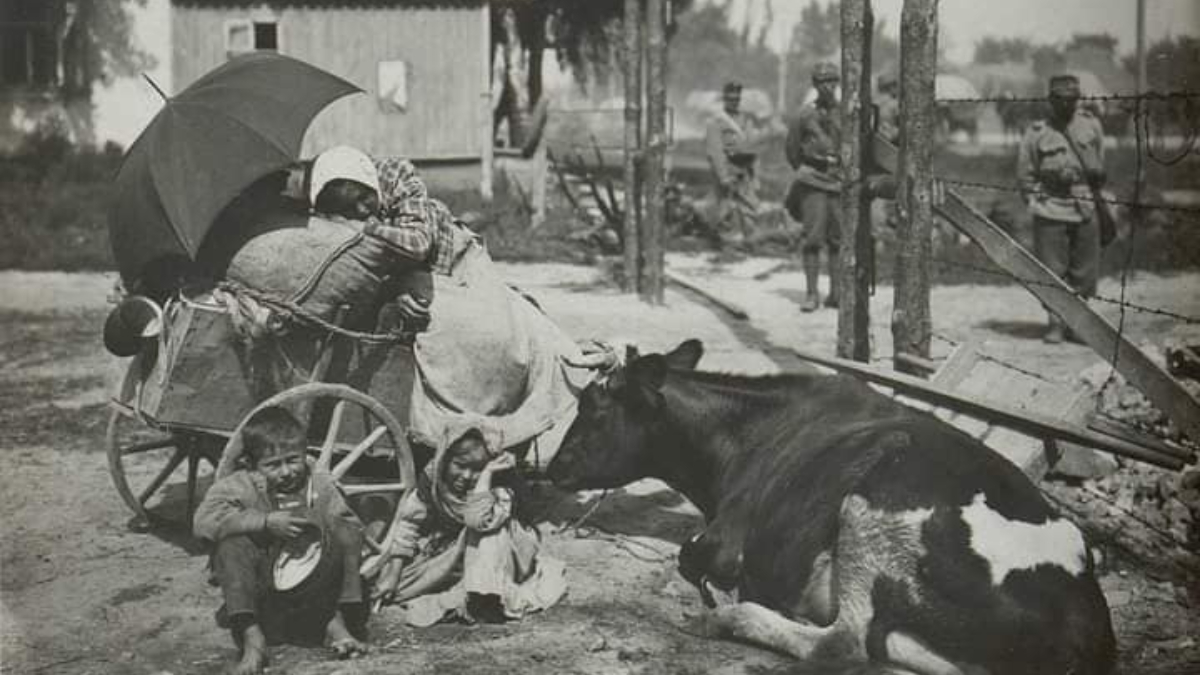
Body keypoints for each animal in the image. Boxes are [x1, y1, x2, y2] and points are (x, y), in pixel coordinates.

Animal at [547, 341, 1113, 672]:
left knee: (842, 643)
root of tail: (1083, 625)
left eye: (594, 410)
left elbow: (691, 556)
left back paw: (724, 618)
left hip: (872, 509)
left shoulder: (723, 539)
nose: (550, 468)